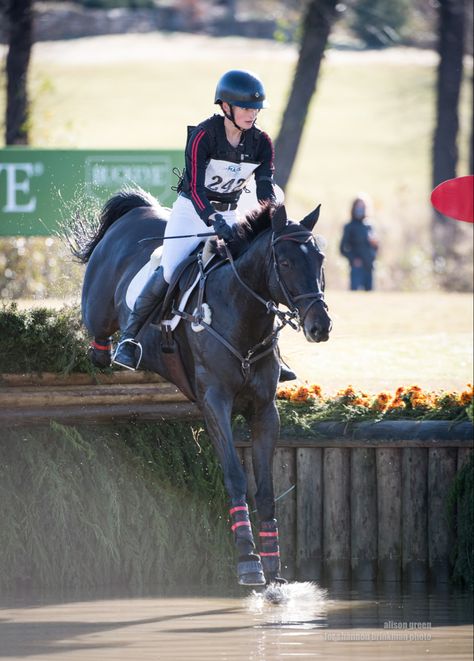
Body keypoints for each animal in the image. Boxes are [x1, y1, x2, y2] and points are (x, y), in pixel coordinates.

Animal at [78, 188, 332, 584]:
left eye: (320, 258)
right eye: (286, 262)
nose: (320, 326)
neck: (241, 313)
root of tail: (135, 212)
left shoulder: (265, 411)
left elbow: (265, 489)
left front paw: (273, 565)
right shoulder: (215, 404)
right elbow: (236, 477)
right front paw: (248, 562)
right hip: (97, 316)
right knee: (99, 341)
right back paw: (121, 348)